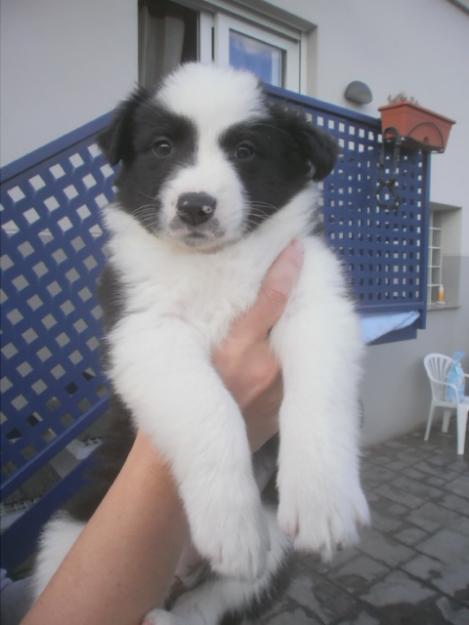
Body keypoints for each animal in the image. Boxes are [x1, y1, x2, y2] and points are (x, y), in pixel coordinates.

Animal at [33, 63, 370, 624]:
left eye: (246, 151)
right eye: (163, 147)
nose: (195, 207)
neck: (212, 262)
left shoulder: (315, 302)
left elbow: (317, 398)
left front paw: (323, 499)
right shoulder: (145, 329)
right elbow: (207, 407)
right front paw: (231, 523)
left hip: (275, 551)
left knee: (209, 602)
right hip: (67, 530)